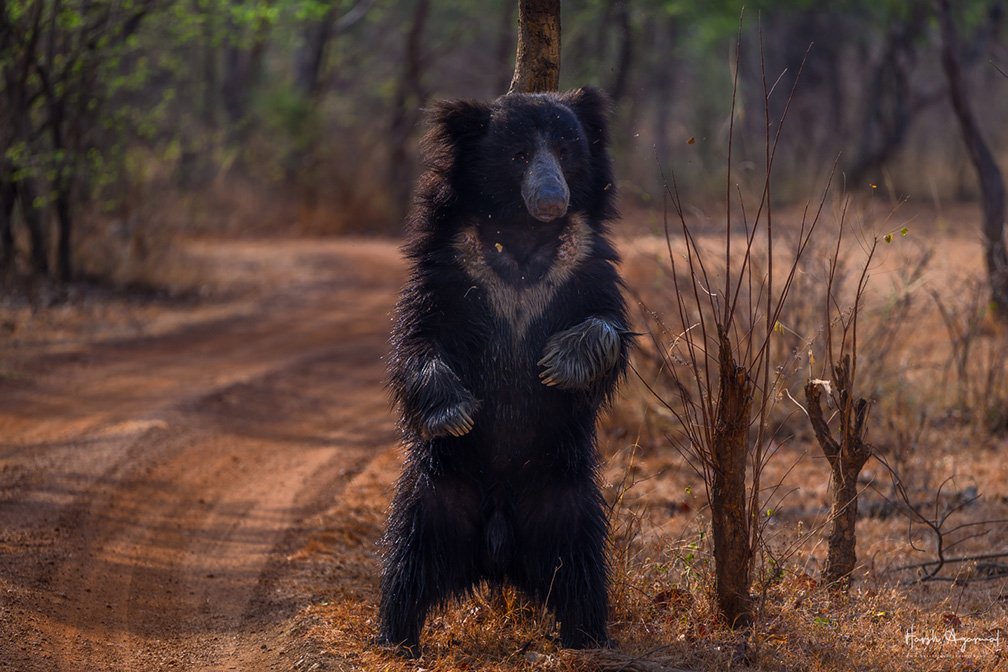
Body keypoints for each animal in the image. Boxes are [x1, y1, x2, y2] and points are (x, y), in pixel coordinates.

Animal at [377, 87, 633, 657]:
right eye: (518, 156)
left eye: (565, 150)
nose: (552, 198)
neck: (521, 236)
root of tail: (497, 550)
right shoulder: (448, 266)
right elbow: (420, 340)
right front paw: (455, 413)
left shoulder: (588, 264)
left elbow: (609, 326)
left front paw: (558, 363)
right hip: (435, 495)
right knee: (405, 564)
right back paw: (395, 638)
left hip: (564, 501)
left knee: (581, 570)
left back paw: (586, 636)